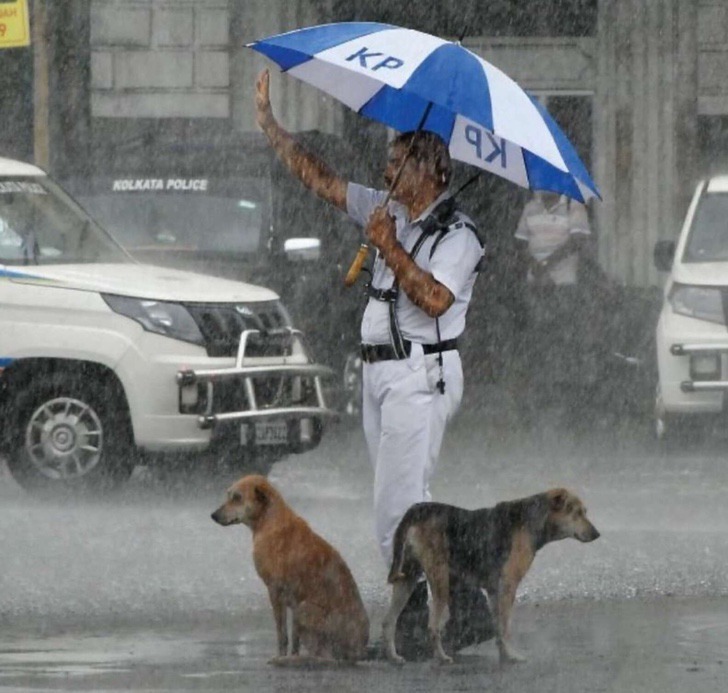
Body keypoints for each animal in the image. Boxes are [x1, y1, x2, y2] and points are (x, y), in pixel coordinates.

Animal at [210, 474, 370, 664]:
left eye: (237, 498)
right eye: (229, 495)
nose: (213, 515)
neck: (269, 521)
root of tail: (358, 652)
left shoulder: (275, 591)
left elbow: (282, 634)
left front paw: (281, 655)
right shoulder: (291, 602)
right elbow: (294, 639)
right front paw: (292, 654)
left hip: (304, 609)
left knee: (325, 656)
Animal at [382, 486, 596, 664]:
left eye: (585, 512)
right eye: (576, 513)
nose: (597, 534)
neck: (533, 519)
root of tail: (417, 509)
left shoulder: (494, 591)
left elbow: (498, 627)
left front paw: (504, 655)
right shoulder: (508, 586)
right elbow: (505, 627)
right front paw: (513, 656)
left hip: (407, 578)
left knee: (389, 622)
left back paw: (393, 656)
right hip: (440, 579)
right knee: (432, 626)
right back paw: (442, 657)